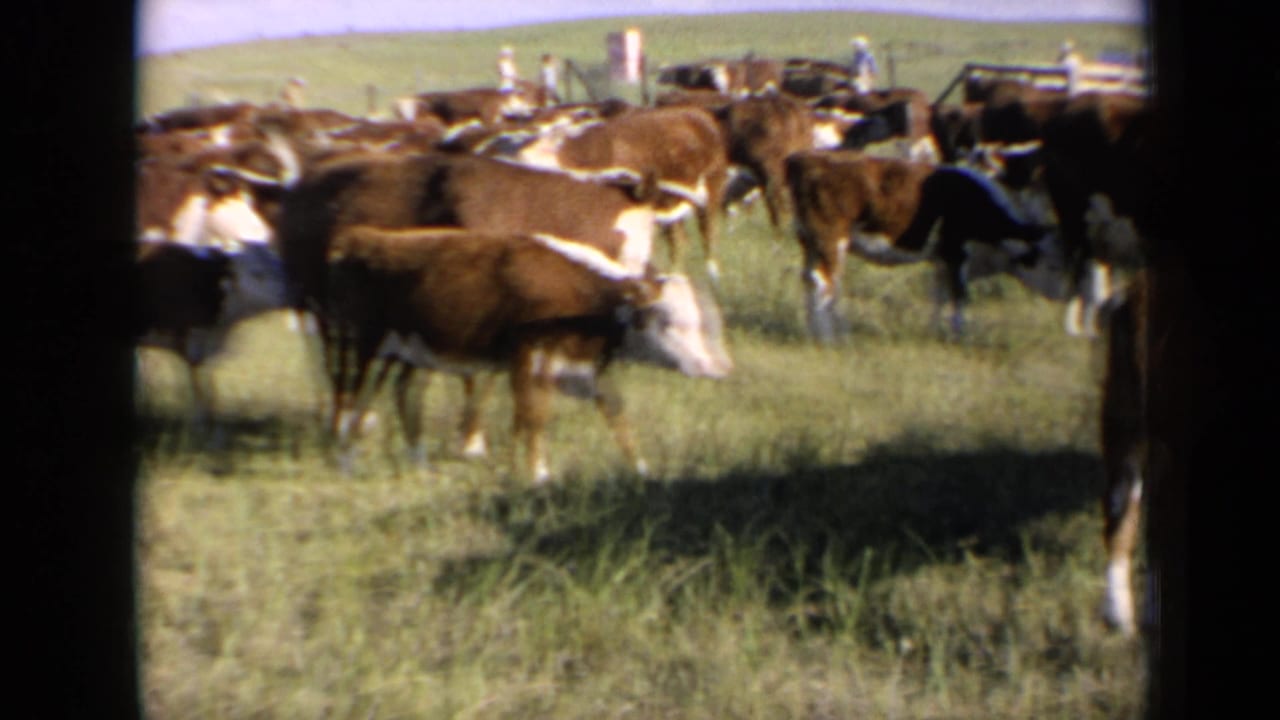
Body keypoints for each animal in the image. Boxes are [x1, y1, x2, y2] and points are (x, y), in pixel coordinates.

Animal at [136, 242, 289, 450]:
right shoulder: (187, 341)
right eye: (257, 273)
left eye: (279, 266)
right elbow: (197, 387)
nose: (291, 293)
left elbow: (205, 388)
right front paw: (202, 432)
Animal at [323, 227, 732, 481]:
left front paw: (642, 472)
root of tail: (367, 239)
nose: (716, 366)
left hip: (412, 351)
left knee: (405, 394)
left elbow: (618, 420)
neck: (581, 303)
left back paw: (419, 462)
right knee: (357, 396)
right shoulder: (528, 363)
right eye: (668, 320)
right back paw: (345, 461)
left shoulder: (586, 370)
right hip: (369, 344)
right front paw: (538, 477)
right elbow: (533, 420)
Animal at [785, 151, 1060, 342]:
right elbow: (959, 296)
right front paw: (958, 338)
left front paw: (935, 331)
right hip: (831, 241)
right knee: (825, 284)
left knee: (809, 280)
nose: (1060, 295)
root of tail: (805, 158)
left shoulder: (941, 259)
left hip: (809, 242)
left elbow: (939, 295)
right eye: (1050, 262)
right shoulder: (957, 252)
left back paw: (811, 332)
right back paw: (830, 339)